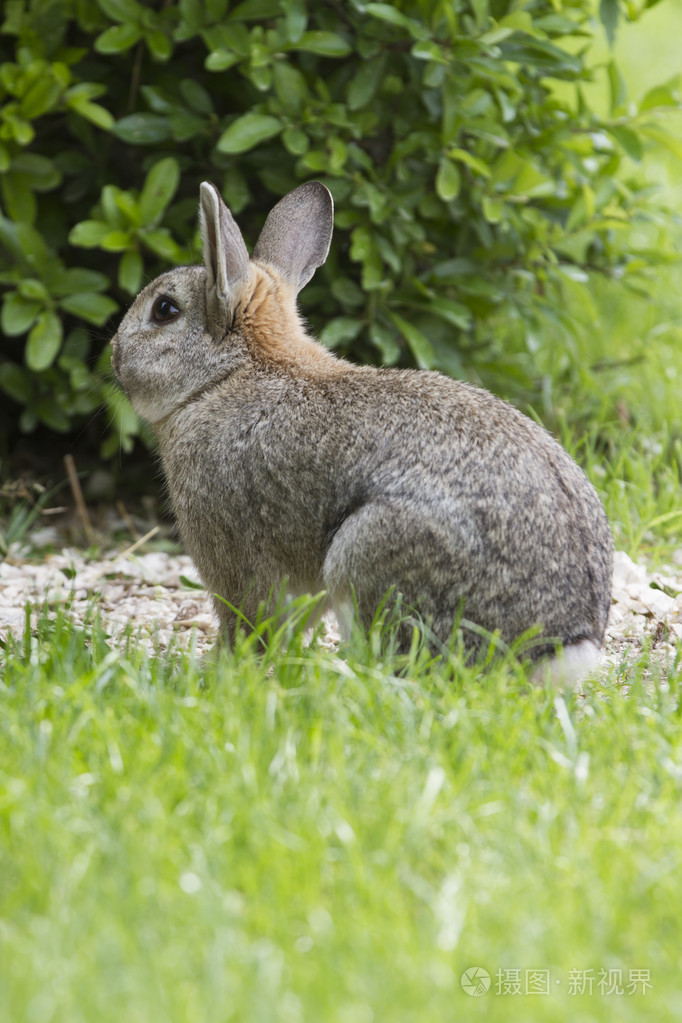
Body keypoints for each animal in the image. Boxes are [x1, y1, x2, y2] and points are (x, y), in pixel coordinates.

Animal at [111, 183, 613, 679]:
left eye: (164, 310)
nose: (113, 353)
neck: (227, 375)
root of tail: (561, 644)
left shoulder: (229, 552)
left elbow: (247, 621)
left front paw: (217, 668)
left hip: (370, 553)